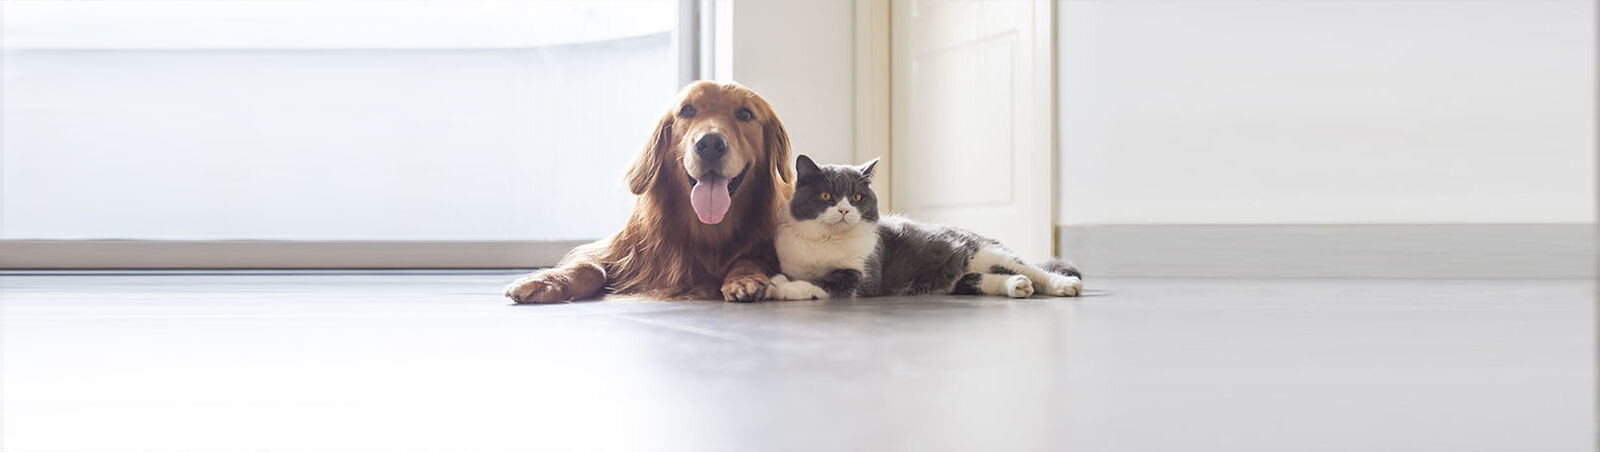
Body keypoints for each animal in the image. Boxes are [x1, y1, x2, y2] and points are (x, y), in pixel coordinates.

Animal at [502, 81, 790, 302]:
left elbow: (750, 258)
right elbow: (593, 266)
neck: (705, 233)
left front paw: (744, 278)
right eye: (687, 110)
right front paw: (546, 280)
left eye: (745, 114)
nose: (710, 143)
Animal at [764, 154, 1088, 299]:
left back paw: (1062, 285)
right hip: (963, 274)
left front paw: (781, 287)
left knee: (1033, 269)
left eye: (856, 197)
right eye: (826, 196)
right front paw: (777, 280)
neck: (827, 241)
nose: (844, 210)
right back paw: (1017, 286)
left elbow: (824, 282)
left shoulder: (862, 275)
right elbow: (805, 275)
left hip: (986, 252)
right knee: (980, 279)